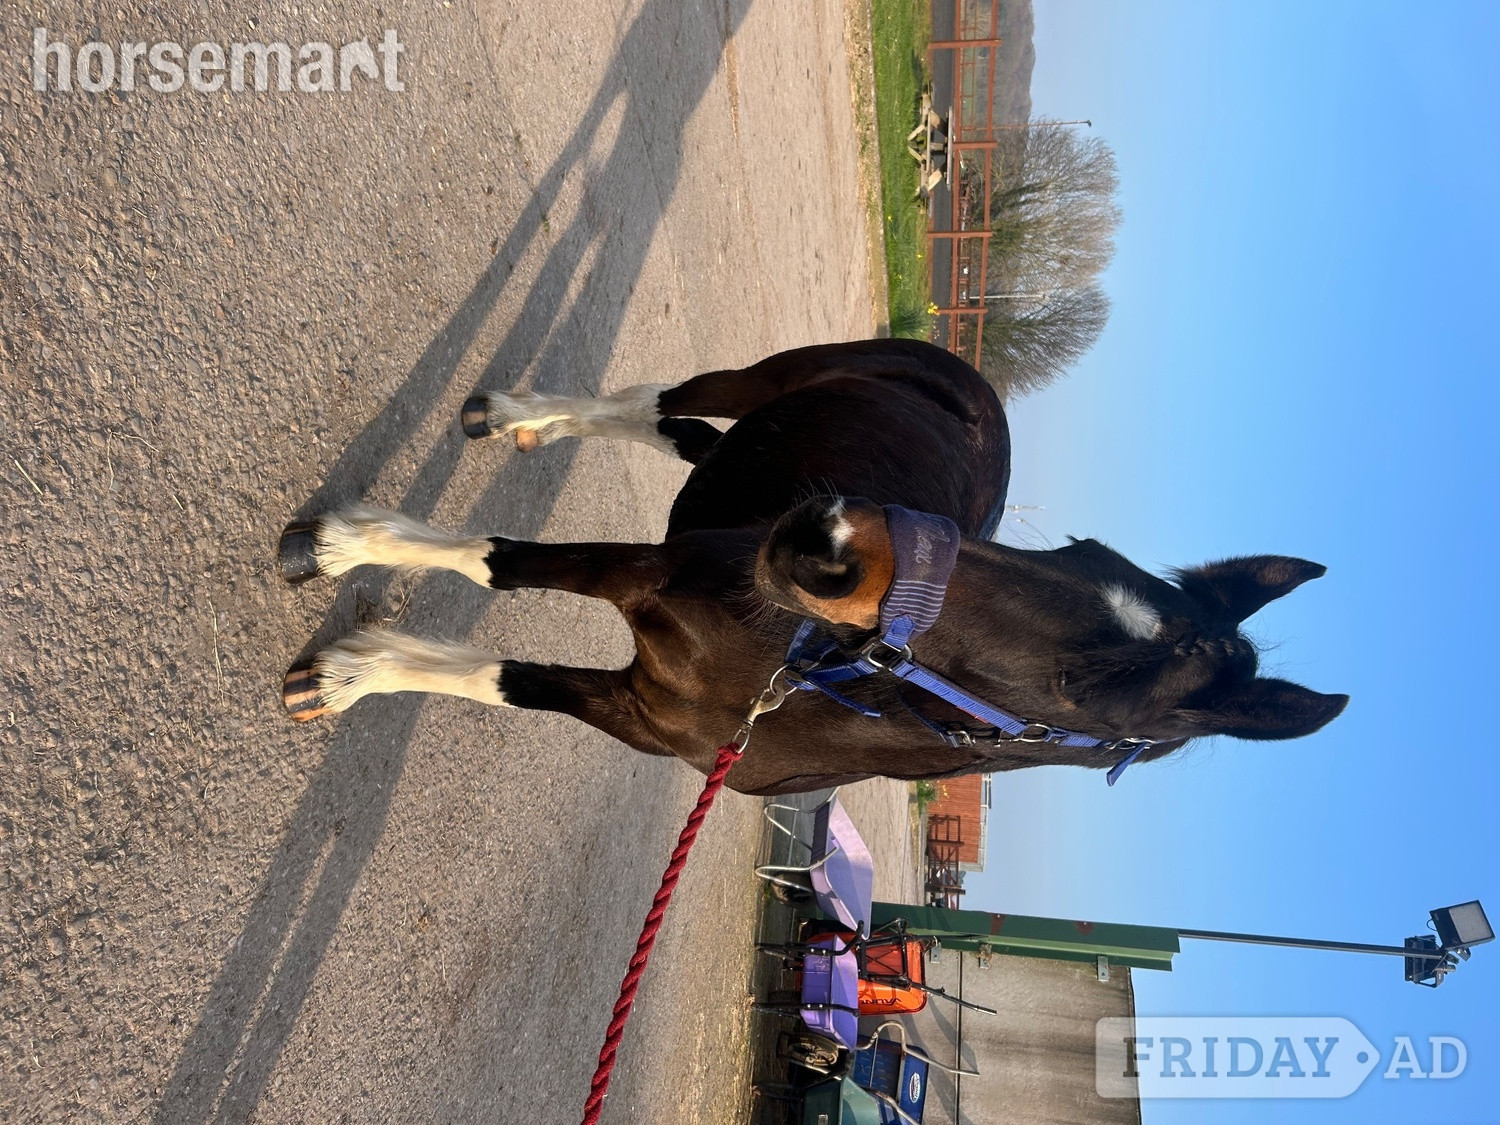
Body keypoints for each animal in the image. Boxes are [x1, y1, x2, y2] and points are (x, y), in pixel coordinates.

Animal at [278, 339, 1346, 795]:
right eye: (1075, 551)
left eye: (1092, 687)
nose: (835, 541)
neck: (793, 679)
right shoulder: (645, 573)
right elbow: (501, 565)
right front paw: (341, 556)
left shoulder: (636, 711)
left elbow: (500, 673)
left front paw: (349, 671)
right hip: (765, 376)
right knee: (661, 398)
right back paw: (514, 412)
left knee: (681, 433)